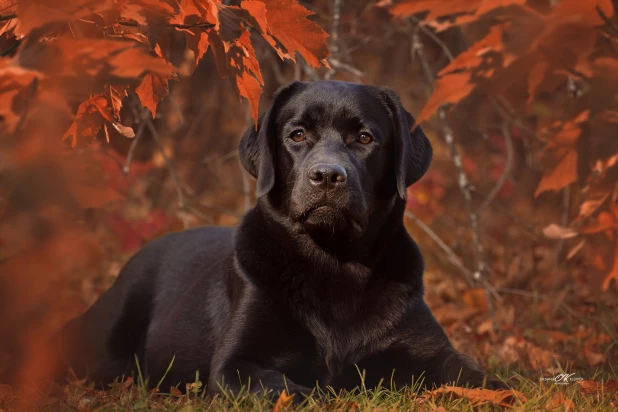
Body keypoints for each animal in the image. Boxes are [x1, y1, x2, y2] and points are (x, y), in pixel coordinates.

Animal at [54, 80, 506, 400]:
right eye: (297, 134)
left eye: (364, 138)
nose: (327, 176)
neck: (335, 263)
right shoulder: (235, 364)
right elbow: (281, 387)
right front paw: (320, 393)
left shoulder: (427, 349)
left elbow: (470, 372)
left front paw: (501, 392)